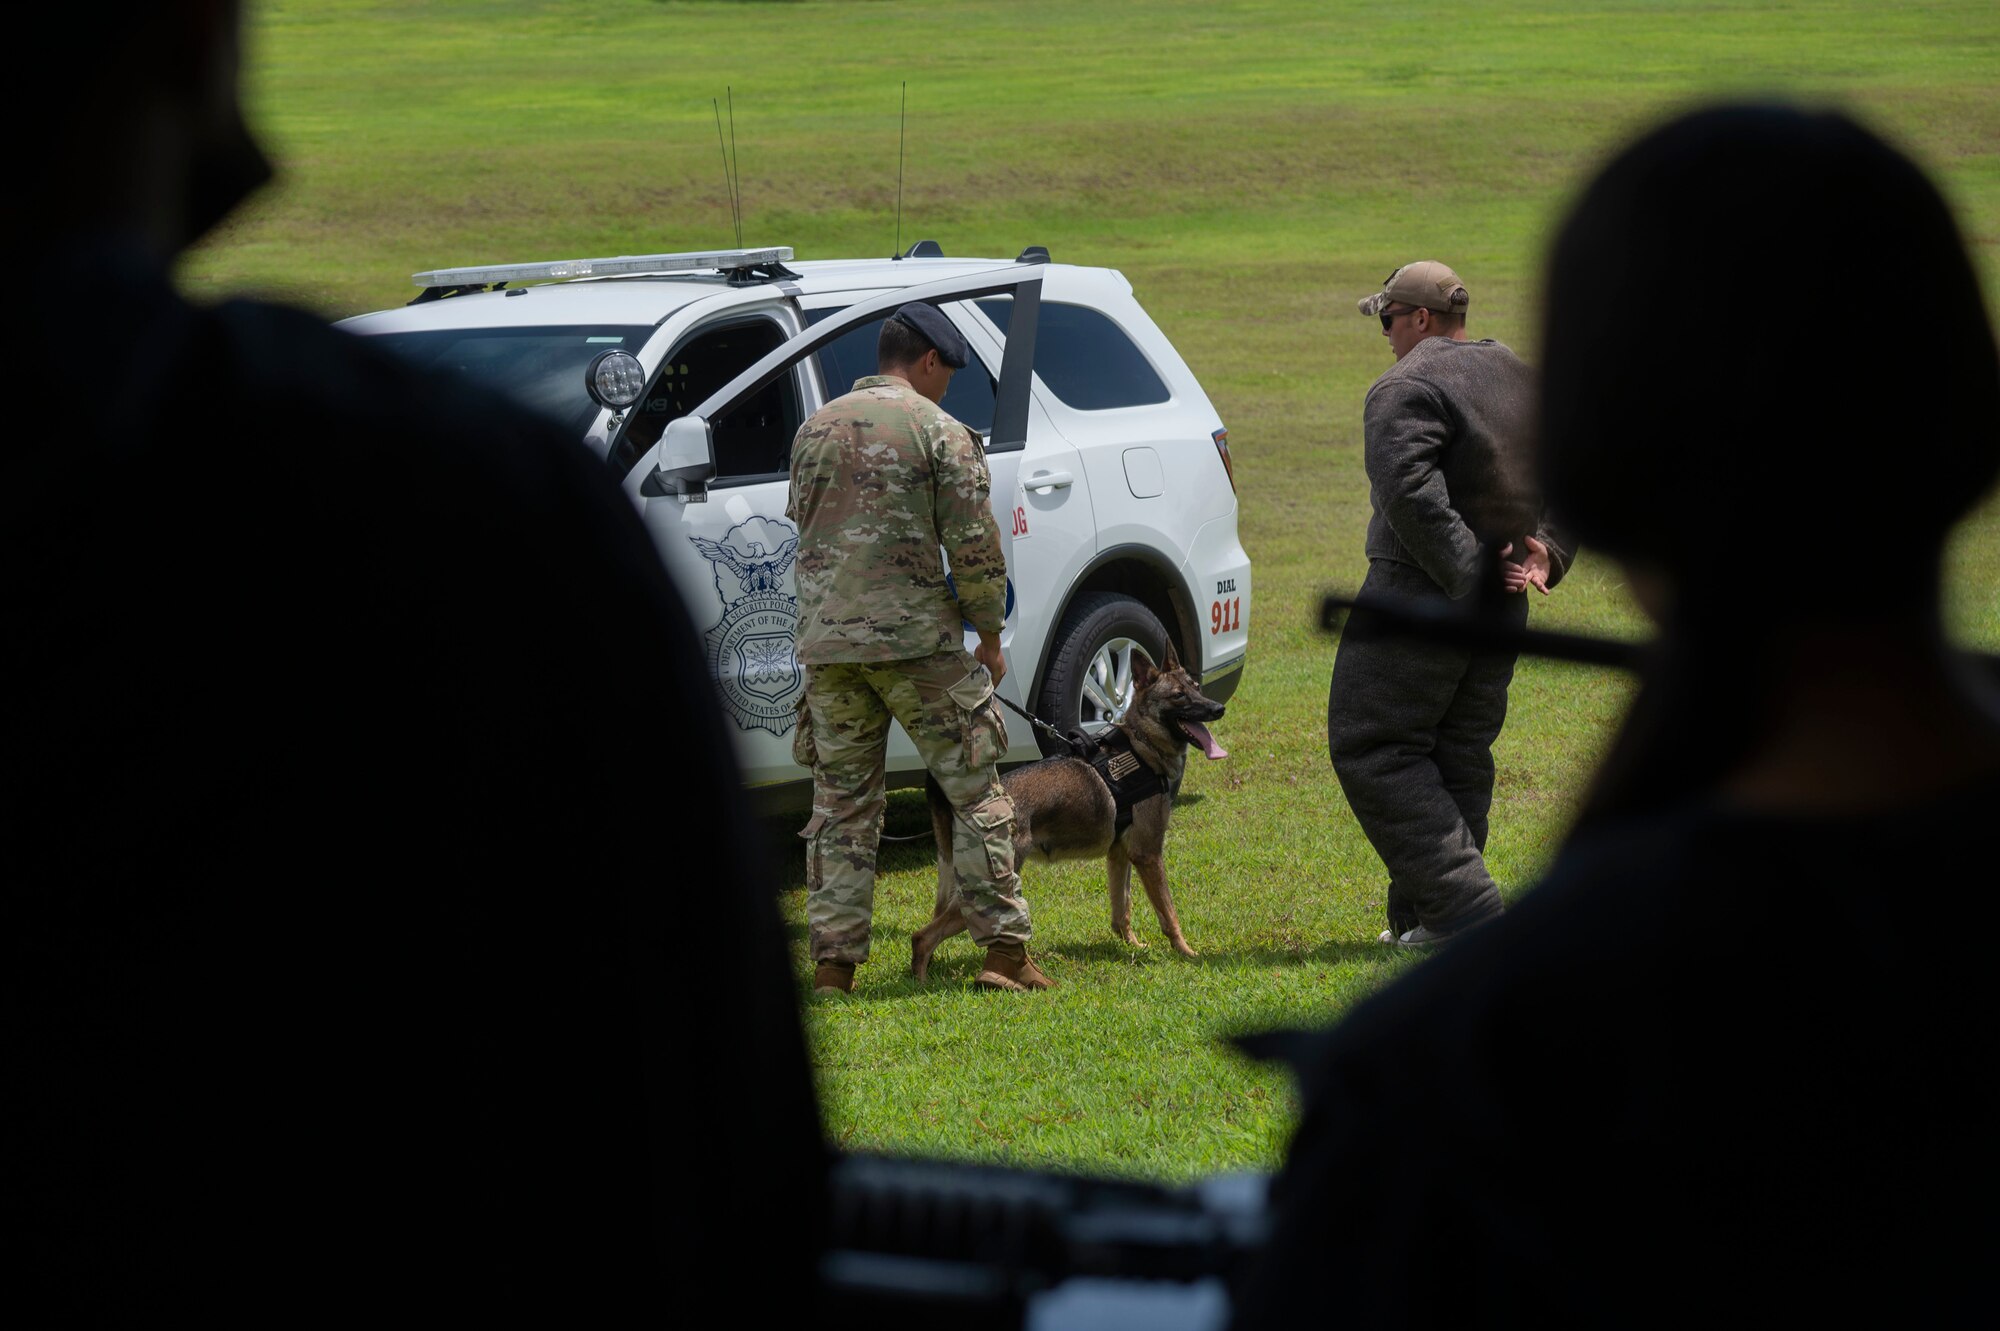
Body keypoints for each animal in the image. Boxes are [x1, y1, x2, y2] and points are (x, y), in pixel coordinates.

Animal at [916, 643, 1224, 975]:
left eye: (1195, 687)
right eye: (1178, 696)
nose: (1218, 708)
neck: (1142, 746)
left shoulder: (1120, 855)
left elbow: (1122, 911)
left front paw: (1133, 946)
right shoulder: (1149, 855)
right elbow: (1169, 915)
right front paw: (1187, 952)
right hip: (990, 891)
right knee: (922, 936)